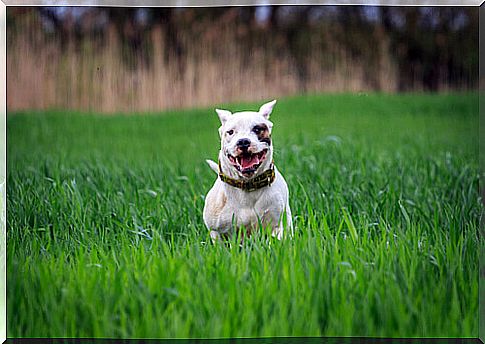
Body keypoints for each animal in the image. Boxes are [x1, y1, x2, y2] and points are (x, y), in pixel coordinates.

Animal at [201, 98, 292, 241]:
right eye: (230, 132)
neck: (247, 185)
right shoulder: (216, 232)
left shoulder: (276, 227)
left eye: (257, 129)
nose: (243, 141)